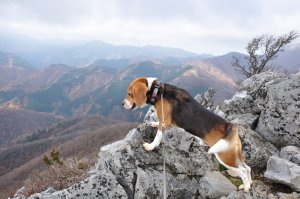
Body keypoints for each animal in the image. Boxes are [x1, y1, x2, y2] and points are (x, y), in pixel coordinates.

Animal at [121, 77, 251, 191]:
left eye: (130, 94)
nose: (122, 104)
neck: (157, 91)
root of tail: (230, 126)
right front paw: (154, 123)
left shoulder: (165, 123)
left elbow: (157, 137)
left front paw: (150, 146)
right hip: (235, 155)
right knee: (248, 168)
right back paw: (249, 184)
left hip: (224, 156)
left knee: (243, 171)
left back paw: (246, 188)